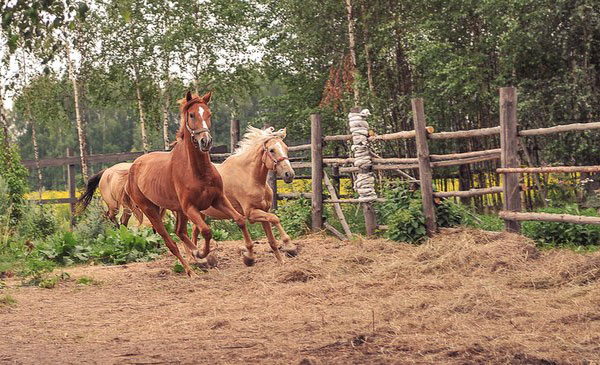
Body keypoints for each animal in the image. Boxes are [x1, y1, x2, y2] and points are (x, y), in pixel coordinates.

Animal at [126, 91, 253, 276]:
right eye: (192, 115)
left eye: (209, 114)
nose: (205, 141)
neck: (199, 172)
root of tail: (133, 168)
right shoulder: (191, 207)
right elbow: (206, 231)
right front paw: (202, 254)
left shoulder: (218, 199)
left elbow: (240, 219)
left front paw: (249, 256)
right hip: (151, 210)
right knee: (171, 242)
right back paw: (191, 270)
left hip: (178, 210)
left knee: (179, 231)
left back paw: (196, 257)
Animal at [191, 126, 296, 262]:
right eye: (272, 150)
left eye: (286, 148)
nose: (289, 174)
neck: (250, 177)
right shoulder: (251, 213)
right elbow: (275, 218)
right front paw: (290, 246)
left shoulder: (264, 211)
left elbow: (272, 240)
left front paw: (281, 262)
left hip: (201, 214)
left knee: (194, 233)